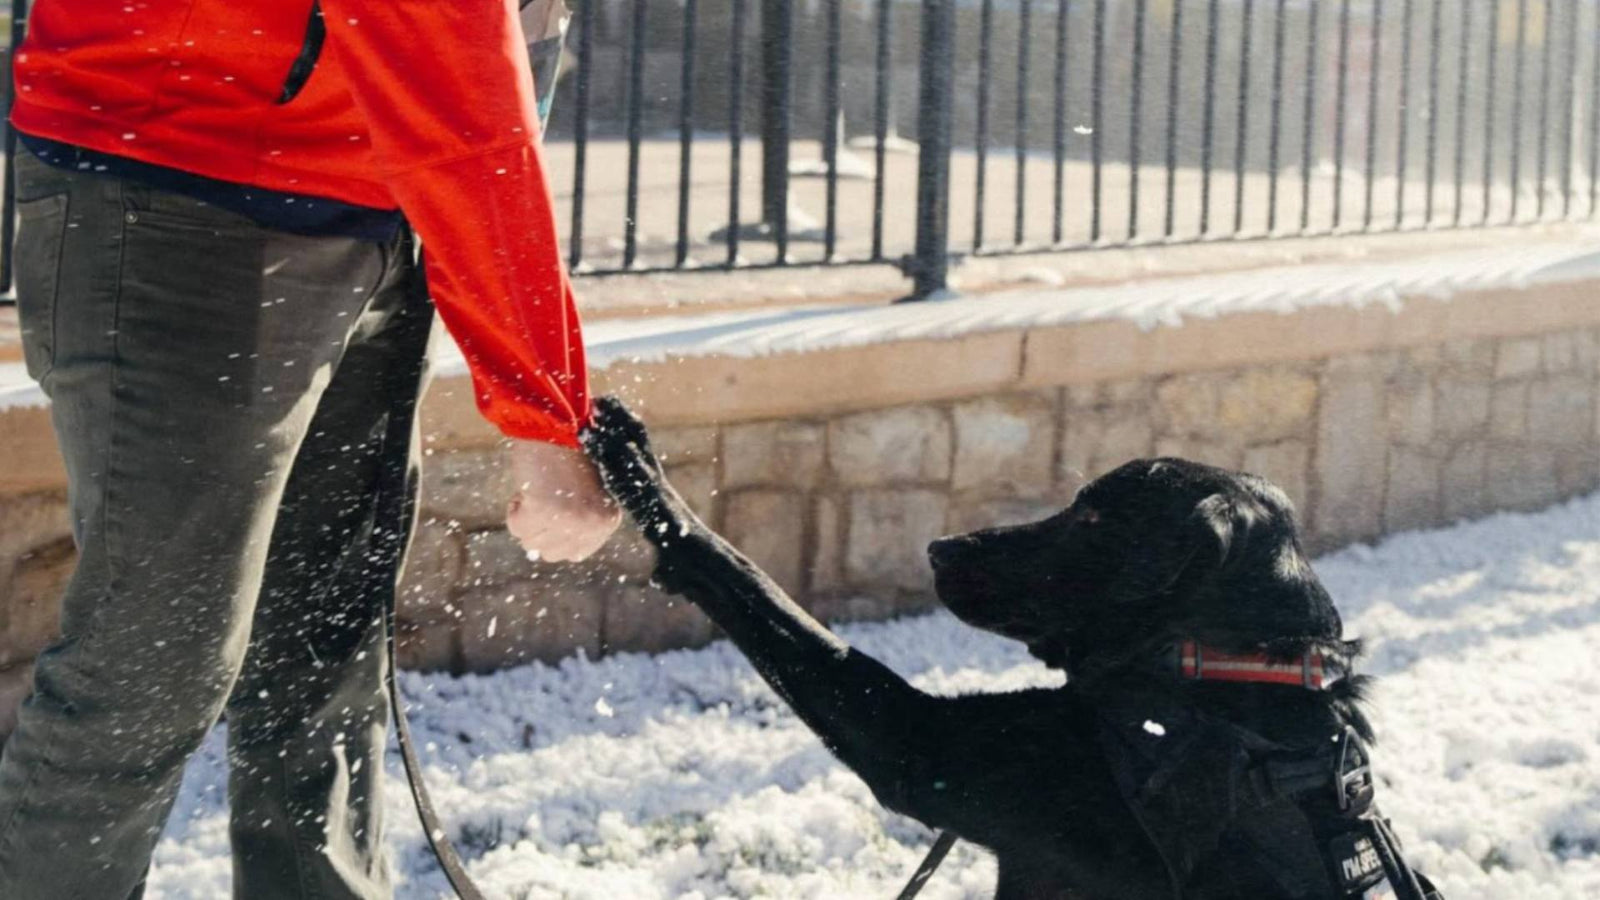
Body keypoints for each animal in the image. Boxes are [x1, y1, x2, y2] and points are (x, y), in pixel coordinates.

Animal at [585, 398, 1440, 896]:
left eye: (1093, 518)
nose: (938, 547)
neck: (1215, 674)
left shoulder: (925, 751)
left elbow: (758, 589)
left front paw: (641, 472)